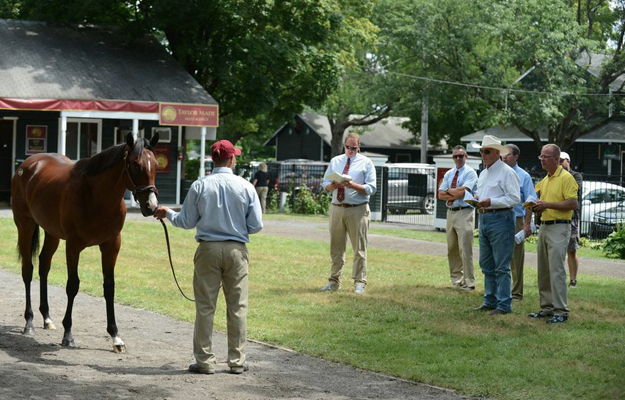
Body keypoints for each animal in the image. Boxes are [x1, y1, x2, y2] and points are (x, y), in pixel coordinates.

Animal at [11, 133, 160, 352]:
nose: (151, 206)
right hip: (25, 226)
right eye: (135, 164)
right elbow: (72, 285)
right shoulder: (73, 246)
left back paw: (47, 318)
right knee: (27, 270)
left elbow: (109, 287)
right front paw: (68, 335)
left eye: (156, 165)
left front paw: (115, 337)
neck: (95, 195)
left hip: (52, 233)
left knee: (44, 265)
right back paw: (29, 322)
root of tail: (29, 164)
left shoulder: (111, 245)